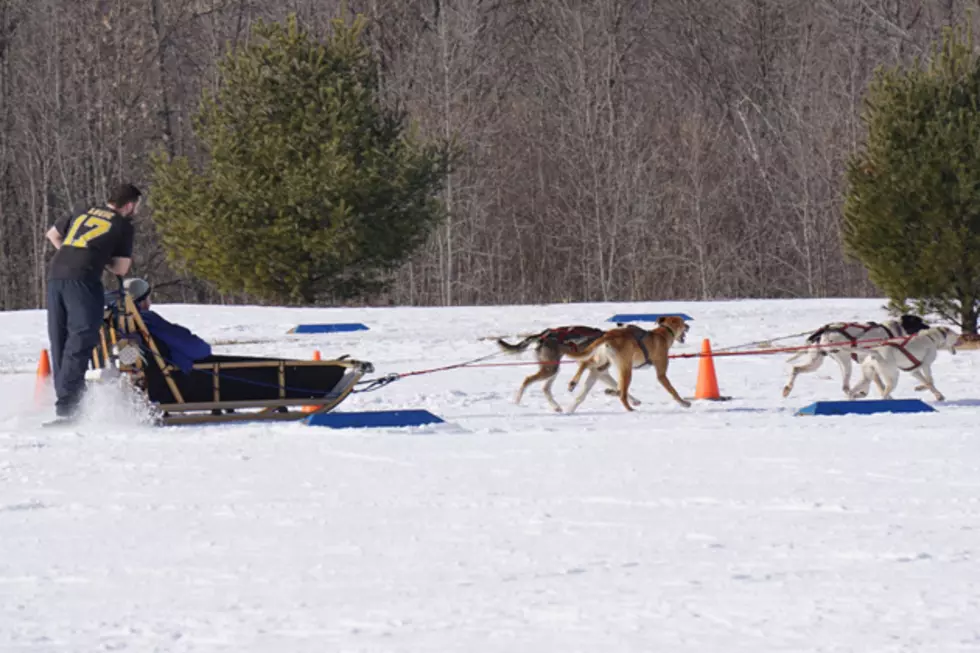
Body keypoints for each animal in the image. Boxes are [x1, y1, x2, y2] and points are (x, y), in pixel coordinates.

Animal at [564, 316, 692, 412]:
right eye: (683, 322)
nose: (689, 326)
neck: (663, 334)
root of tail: (609, 335)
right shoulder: (661, 374)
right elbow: (673, 390)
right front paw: (683, 403)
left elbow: (616, 389)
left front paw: (610, 392)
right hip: (626, 369)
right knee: (622, 395)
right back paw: (630, 409)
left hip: (602, 360)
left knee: (585, 363)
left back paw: (573, 382)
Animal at [784, 312, 932, 398]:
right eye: (919, 321)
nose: (929, 327)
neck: (891, 330)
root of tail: (825, 330)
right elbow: (878, 383)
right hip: (845, 361)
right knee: (845, 387)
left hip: (816, 362)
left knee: (795, 369)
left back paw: (787, 389)